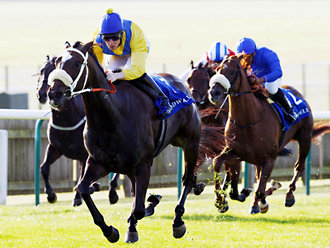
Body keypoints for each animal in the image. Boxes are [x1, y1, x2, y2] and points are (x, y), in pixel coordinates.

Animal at [46, 41, 201, 243]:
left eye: (78, 63)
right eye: (57, 62)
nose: (54, 94)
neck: (111, 117)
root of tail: (182, 84)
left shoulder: (143, 164)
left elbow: (139, 209)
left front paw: (147, 208)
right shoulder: (98, 162)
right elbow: (84, 188)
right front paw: (110, 231)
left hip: (190, 143)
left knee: (188, 179)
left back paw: (177, 221)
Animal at [209, 55, 330, 214]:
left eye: (232, 72)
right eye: (217, 69)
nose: (213, 93)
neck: (248, 120)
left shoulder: (269, 158)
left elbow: (260, 189)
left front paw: (259, 201)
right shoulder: (237, 152)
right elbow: (218, 163)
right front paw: (220, 201)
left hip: (305, 139)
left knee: (298, 167)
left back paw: (288, 195)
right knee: (260, 177)